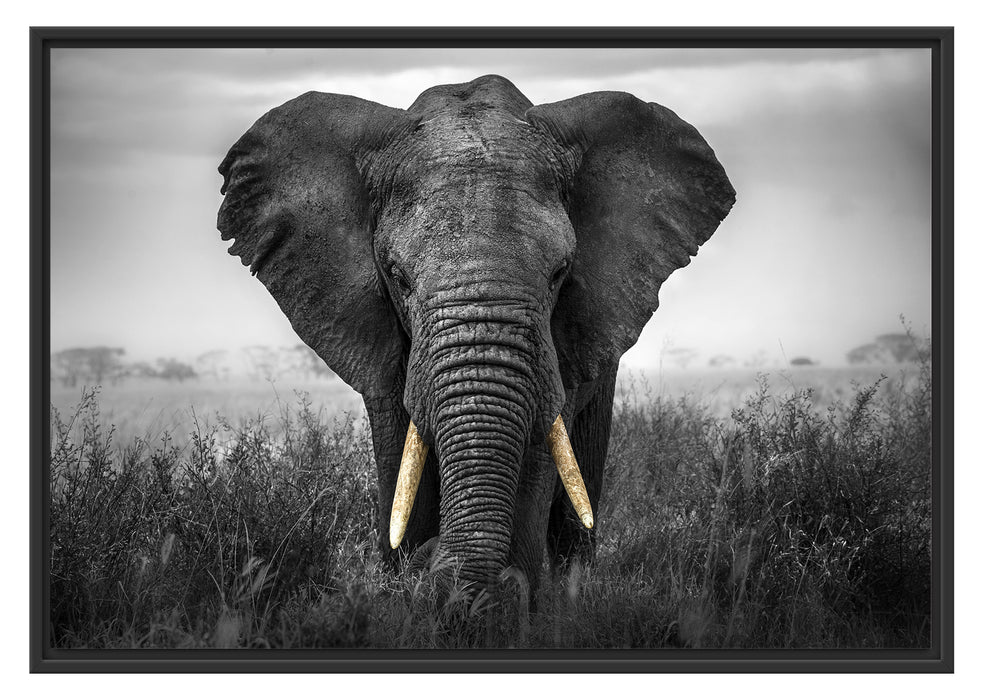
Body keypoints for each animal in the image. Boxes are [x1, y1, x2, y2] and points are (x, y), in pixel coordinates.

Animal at [216, 74, 735, 598]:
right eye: (397, 277)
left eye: (560, 273)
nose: (431, 562)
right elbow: (399, 452)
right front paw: (407, 584)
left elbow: (539, 447)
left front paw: (505, 598)